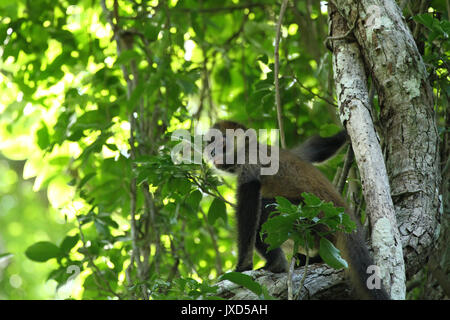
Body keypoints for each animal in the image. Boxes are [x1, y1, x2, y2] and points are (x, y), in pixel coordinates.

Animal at [207, 120, 390, 300]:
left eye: (221, 142)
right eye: (210, 145)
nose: (213, 152)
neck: (250, 146)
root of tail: (344, 217)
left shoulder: (249, 159)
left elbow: (249, 209)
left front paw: (243, 266)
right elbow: (313, 149)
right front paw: (345, 134)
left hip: (308, 218)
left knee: (264, 213)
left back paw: (277, 264)